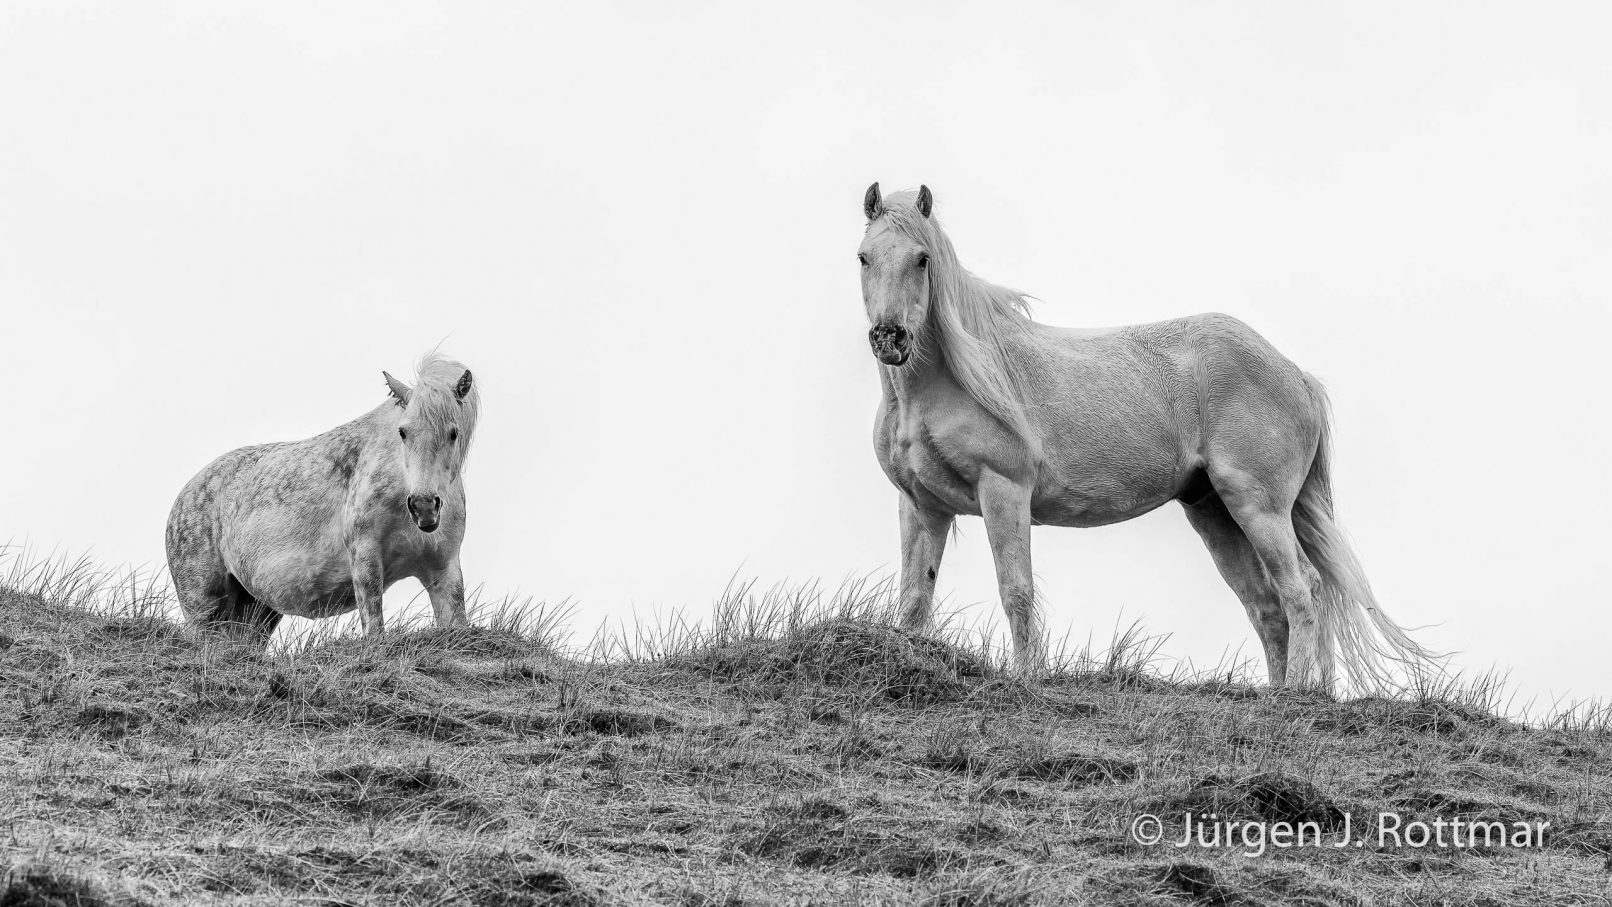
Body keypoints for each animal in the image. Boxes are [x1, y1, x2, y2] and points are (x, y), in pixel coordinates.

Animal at [165, 353, 481, 642]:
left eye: (453, 433)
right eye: (403, 432)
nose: (423, 507)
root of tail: (183, 497)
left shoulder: (443, 569)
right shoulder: (365, 559)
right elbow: (374, 630)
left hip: (255, 611)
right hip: (203, 608)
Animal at [856, 183, 1432, 691]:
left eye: (922, 259)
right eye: (864, 257)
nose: (889, 339)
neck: (950, 381)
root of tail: (1297, 375)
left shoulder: (1004, 491)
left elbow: (1016, 590)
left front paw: (1027, 678)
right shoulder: (922, 505)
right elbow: (915, 596)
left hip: (1259, 508)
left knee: (1303, 590)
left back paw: (1297, 693)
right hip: (1215, 514)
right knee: (1267, 607)